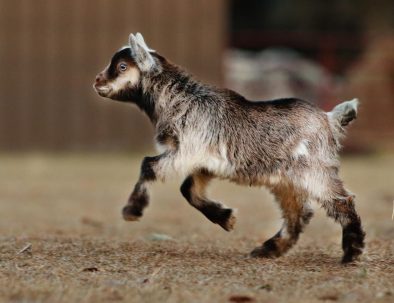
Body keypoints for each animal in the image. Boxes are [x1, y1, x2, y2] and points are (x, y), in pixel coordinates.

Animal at [94, 32, 364, 262]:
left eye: (122, 66)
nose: (97, 80)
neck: (181, 99)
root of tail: (329, 119)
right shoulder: (203, 162)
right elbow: (188, 190)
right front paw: (227, 219)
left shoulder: (186, 151)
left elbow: (148, 165)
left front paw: (132, 210)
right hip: (286, 181)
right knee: (298, 214)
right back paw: (268, 249)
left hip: (313, 171)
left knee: (342, 200)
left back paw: (352, 252)